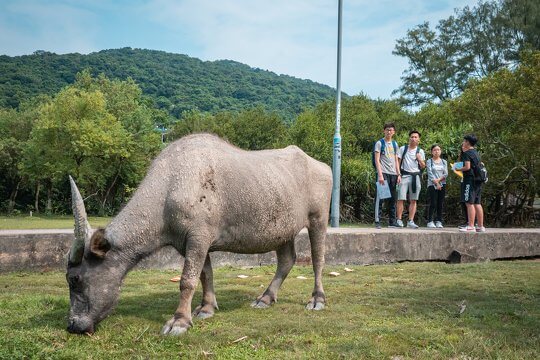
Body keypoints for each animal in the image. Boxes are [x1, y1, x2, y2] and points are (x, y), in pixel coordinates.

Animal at [65, 134, 332, 336]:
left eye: (74, 279)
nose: (73, 325)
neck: (169, 187)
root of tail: (322, 166)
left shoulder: (198, 239)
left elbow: (187, 280)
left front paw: (179, 321)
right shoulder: (191, 244)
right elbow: (205, 274)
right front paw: (206, 308)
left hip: (318, 218)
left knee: (318, 259)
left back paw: (317, 299)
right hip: (282, 230)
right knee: (287, 260)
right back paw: (265, 298)